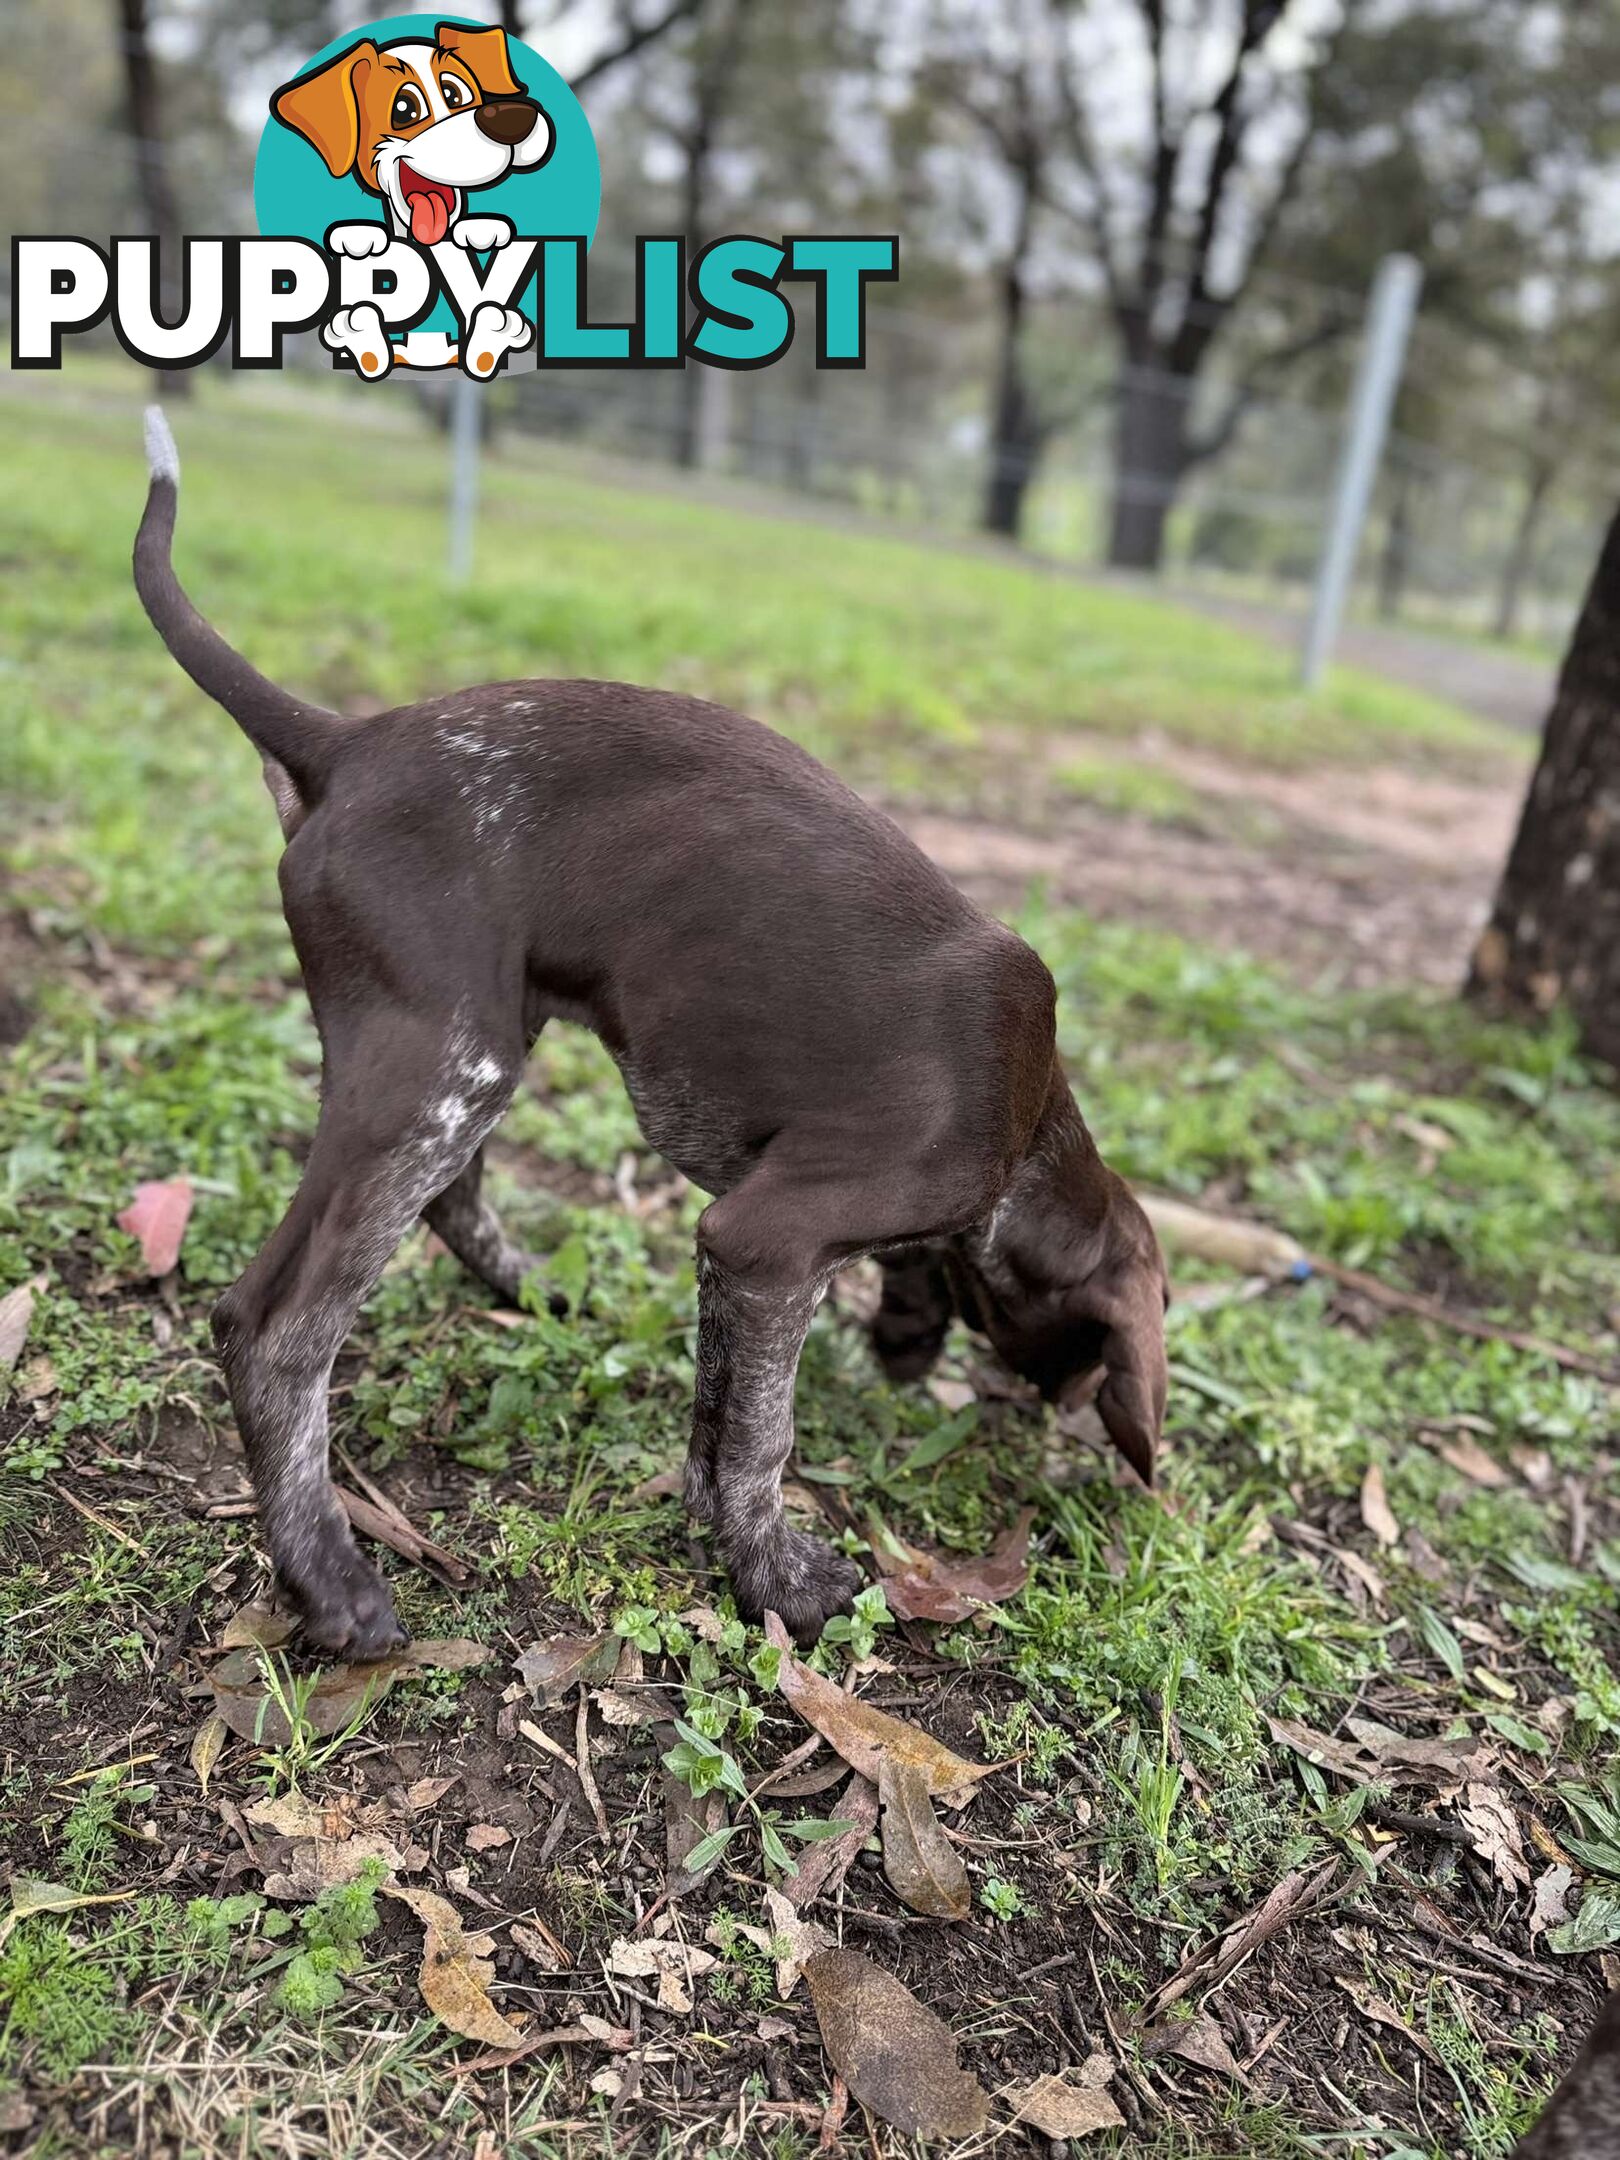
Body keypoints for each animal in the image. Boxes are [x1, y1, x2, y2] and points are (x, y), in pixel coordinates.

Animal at [130, 416, 1166, 1650]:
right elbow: (763, 1436)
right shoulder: (772, 1237)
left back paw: (532, 1290)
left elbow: (720, 1419)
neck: (1029, 1127)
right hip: (449, 1062)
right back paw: (328, 1577)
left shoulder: (741, 1258)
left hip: (465, 1041)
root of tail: (352, 741)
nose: (1054, 1416)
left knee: (454, 1199)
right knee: (274, 1328)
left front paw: (723, 1534)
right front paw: (779, 1579)